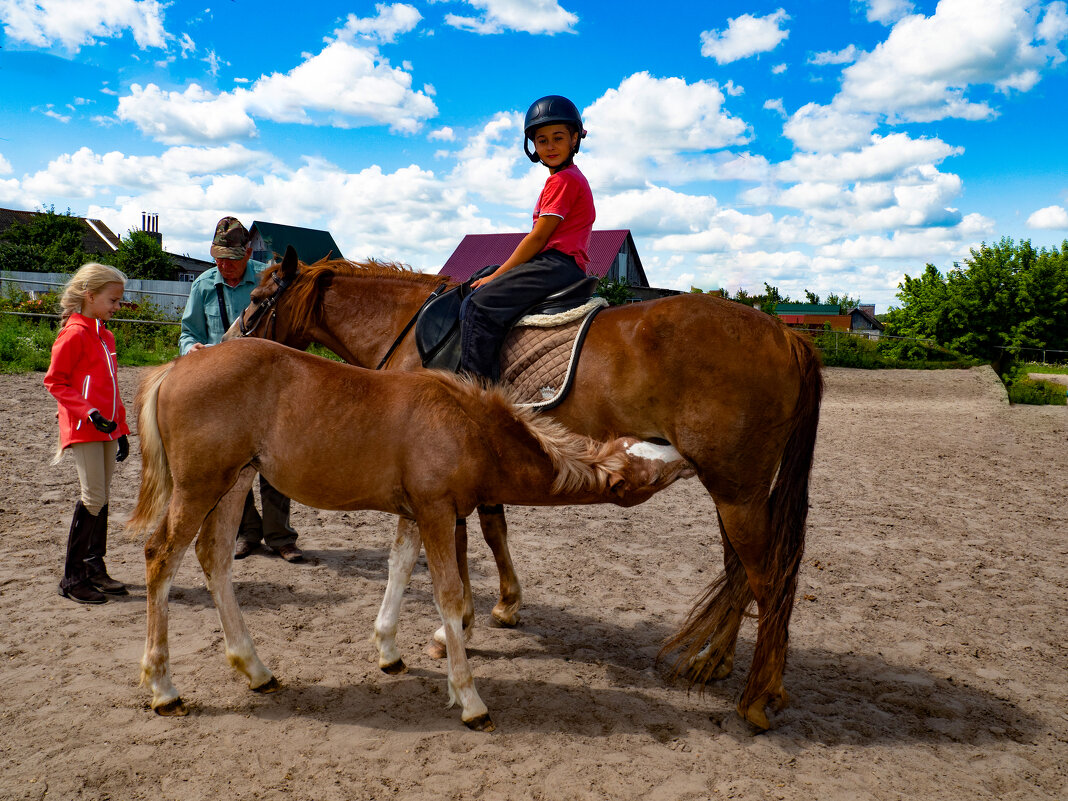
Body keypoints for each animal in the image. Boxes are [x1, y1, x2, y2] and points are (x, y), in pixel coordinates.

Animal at [127, 339, 692, 734]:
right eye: (649, 472)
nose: (684, 452)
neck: (468, 427)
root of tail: (175, 368)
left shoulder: (415, 512)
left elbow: (399, 568)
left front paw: (389, 653)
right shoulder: (439, 511)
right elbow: (448, 595)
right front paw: (470, 700)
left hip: (236, 481)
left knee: (215, 558)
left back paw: (256, 669)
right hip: (201, 485)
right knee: (161, 556)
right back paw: (164, 689)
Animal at [229, 250, 820, 734]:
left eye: (257, 299)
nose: (228, 344)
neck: (407, 330)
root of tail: (783, 333)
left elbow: (462, 548)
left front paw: (458, 627)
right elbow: (493, 528)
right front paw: (504, 606)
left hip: (736, 491)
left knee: (767, 579)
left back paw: (758, 697)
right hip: (733, 490)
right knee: (740, 571)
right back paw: (716, 662)